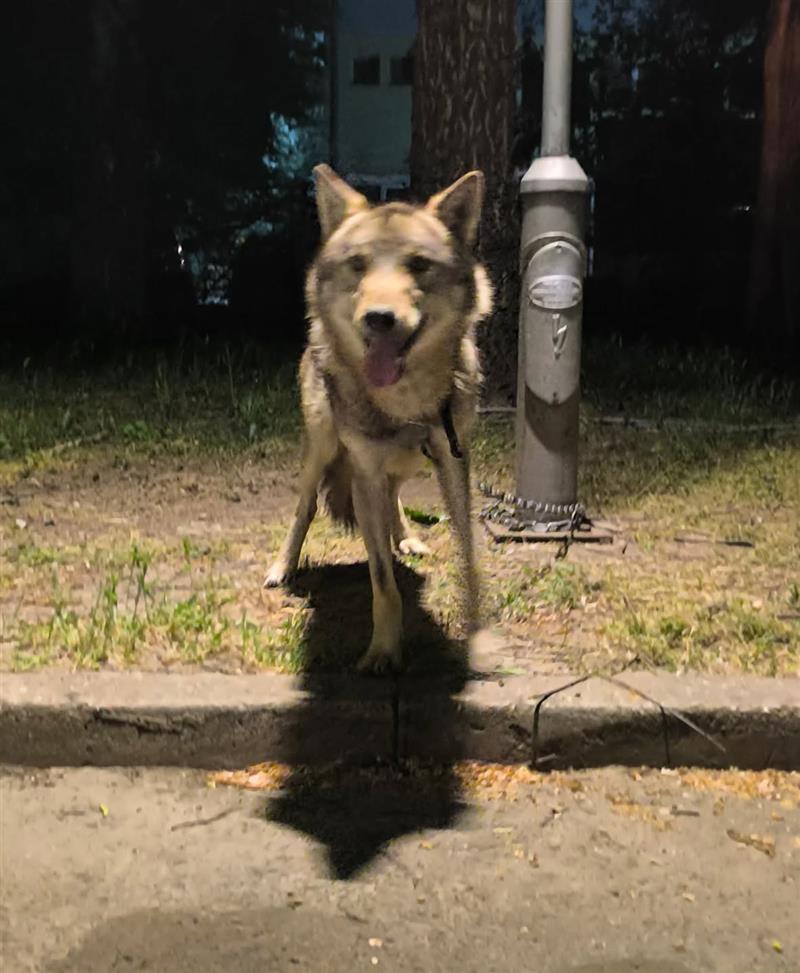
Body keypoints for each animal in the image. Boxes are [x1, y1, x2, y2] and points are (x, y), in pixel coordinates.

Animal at [265, 164, 493, 672]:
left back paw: (406, 539)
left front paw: (478, 632)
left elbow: (469, 556)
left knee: (395, 498)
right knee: (306, 508)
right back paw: (282, 567)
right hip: (323, 448)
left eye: (419, 265)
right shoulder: (364, 471)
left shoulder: (456, 462)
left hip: (411, 463)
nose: (379, 318)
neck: (407, 404)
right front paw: (384, 652)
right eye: (358, 265)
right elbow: (382, 583)